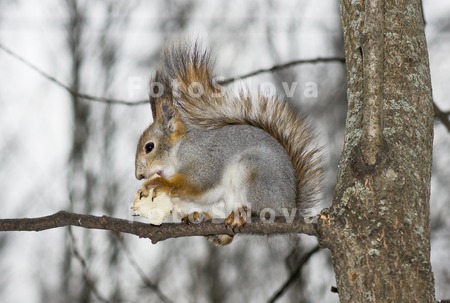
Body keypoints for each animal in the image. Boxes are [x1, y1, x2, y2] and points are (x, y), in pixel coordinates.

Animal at [134, 43, 324, 247]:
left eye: (149, 147)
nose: (139, 176)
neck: (178, 150)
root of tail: (291, 207)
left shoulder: (205, 159)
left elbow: (196, 182)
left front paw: (158, 184)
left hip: (255, 173)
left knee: (264, 211)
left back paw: (244, 213)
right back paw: (207, 222)